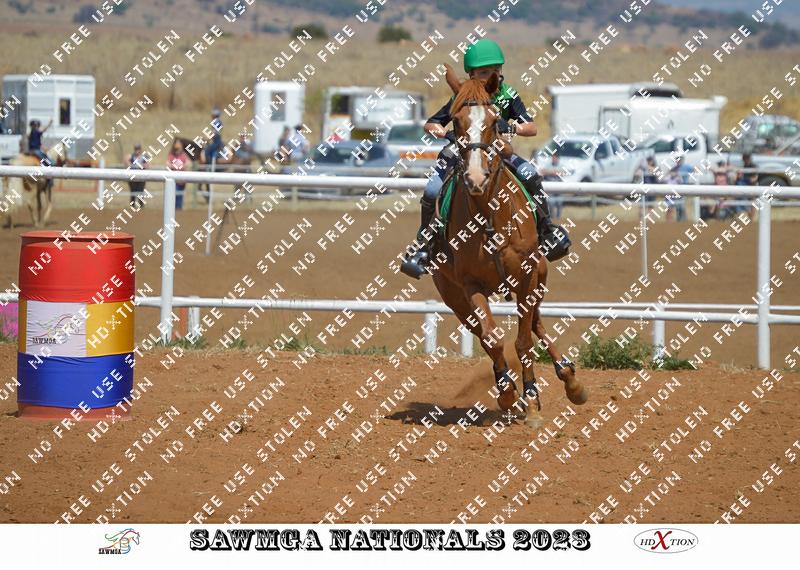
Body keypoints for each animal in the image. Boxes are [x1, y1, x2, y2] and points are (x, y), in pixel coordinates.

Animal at [428, 65, 588, 427]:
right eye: (454, 121)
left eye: (493, 120)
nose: (475, 177)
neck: (489, 217)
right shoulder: (469, 286)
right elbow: (493, 339)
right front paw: (507, 394)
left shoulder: (527, 276)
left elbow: (524, 339)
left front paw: (531, 401)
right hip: (454, 297)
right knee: (486, 334)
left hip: (539, 276)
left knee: (537, 323)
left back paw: (569, 380)